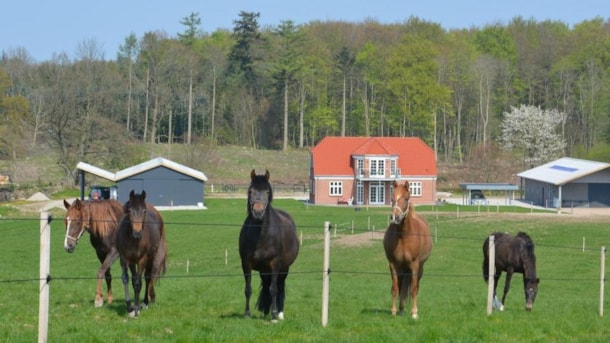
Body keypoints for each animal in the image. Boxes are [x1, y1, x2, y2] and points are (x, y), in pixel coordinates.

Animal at [116, 189, 166, 318]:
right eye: (129, 211)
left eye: (144, 211)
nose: (137, 232)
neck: (132, 240)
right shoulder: (126, 259)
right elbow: (127, 279)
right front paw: (130, 308)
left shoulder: (141, 260)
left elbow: (138, 282)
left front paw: (137, 309)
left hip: (151, 258)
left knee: (148, 277)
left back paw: (144, 303)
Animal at [238, 169, 300, 322]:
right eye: (251, 191)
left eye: (267, 191)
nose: (258, 212)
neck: (261, 235)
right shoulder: (246, 264)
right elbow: (248, 289)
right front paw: (247, 314)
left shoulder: (275, 264)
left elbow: (274, 289)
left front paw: (274, 315)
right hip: (264, 271)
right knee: (266, 286)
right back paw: (266, 311)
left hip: (284, 269)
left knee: (279, 287)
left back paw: (279, 313)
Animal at [382, 181, 430, 318]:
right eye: (392, 198)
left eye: (406, 198)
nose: (395, 217)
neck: (404, 236)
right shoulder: (393, 265)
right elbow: (395, 288)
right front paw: (393, 311)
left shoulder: (414, 265)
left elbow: (413, 289)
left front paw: (414, 313)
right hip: (402, 268)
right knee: (401, 285)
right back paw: (401, 308)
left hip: (420, 268)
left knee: (416, 286)